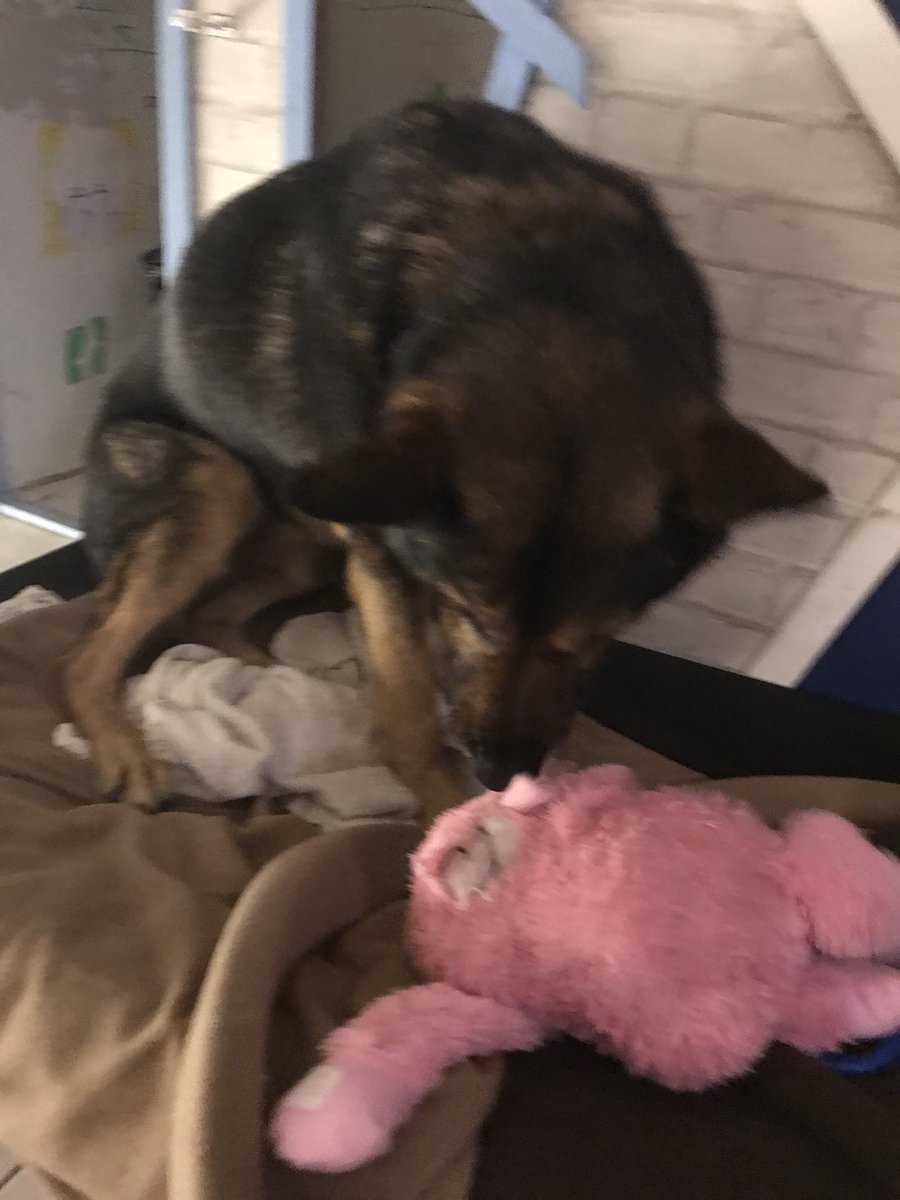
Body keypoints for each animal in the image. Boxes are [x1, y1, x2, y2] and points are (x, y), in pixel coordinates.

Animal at [63, 100, 826, 818]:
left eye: (599, 635)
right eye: (477, 617)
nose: (500, 774)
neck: (545, 274)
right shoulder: (383, 554)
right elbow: (409, 703)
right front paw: (445, 807)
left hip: (309, 543)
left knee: (206, 616)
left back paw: (281, 679)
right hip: (220, 484)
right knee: (88, 654)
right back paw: (128, 748)